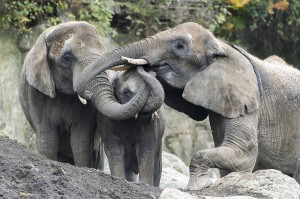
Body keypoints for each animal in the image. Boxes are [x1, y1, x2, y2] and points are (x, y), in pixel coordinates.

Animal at [74, 21, 300, 190]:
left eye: (179, 46)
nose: (144, 67)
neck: (221, 46)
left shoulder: (248, 99)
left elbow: (244, 153)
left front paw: (197, 186)